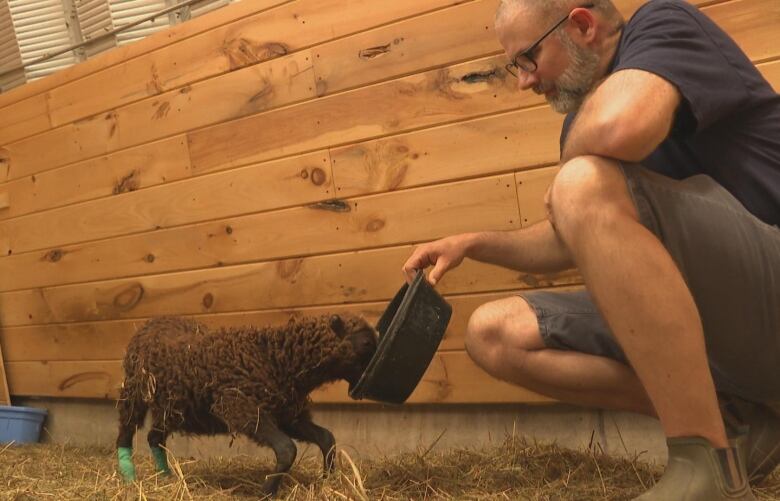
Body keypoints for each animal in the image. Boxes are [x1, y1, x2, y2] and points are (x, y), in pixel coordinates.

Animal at [116, 314, 380, 494]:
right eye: (367, 343)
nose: (372, 382)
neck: (276, 358)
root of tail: (153, 322)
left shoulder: (287, 415)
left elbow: (326, 438)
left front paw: (328, 479)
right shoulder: (243, 408)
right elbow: (287, 449)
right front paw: (267, 491)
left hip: (173, 408)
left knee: (154, 437)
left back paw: (167, 476)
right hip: (134, 392)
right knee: (127, 430)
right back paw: (129, 475)